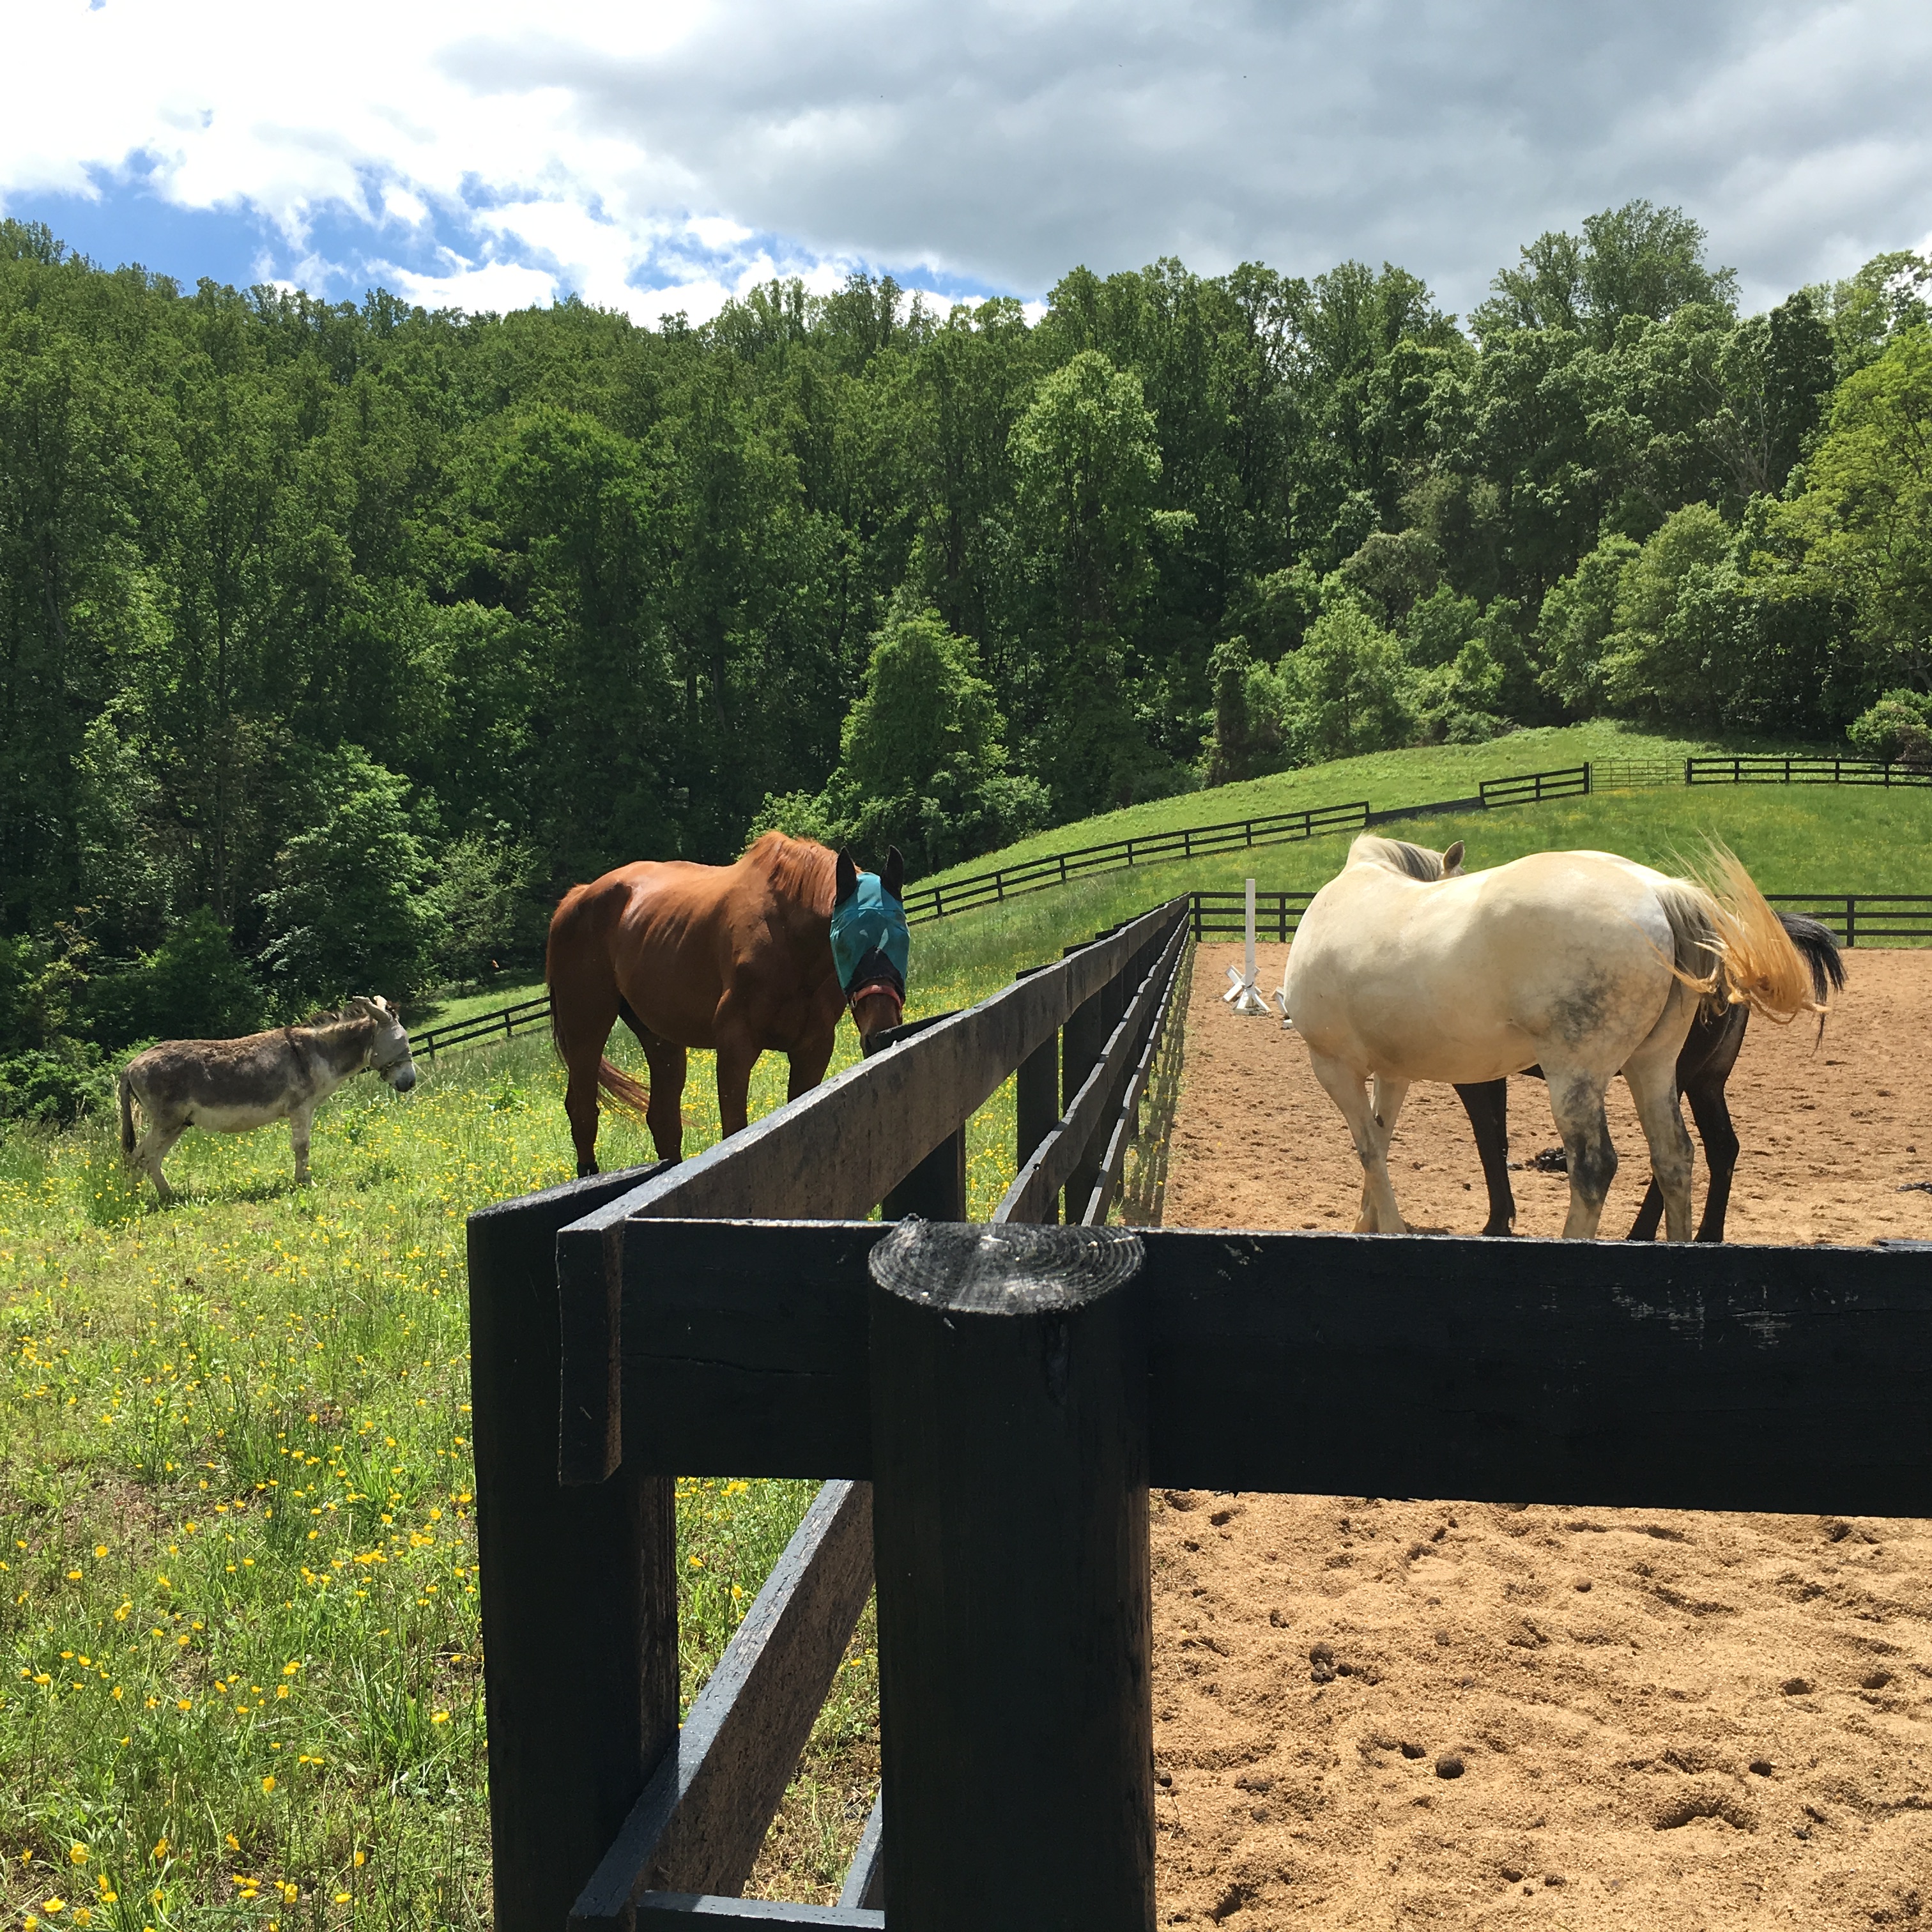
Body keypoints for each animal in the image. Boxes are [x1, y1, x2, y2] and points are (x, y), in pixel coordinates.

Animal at [120, 996, 417, 1202]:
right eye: (402, 1043)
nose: (410, 1083)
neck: (318, 1052)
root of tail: (130, 1066)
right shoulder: (300, 1109)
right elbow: (302, 1147)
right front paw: (305, 1183)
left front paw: (302, 1181)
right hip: (166, 1122)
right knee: (138, 1157)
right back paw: (133, 1202)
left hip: (178, 1124)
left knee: (152, 1159)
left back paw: (167, 1197)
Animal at [545, 833, 907, 1177]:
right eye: (844, 941)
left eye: (902, 937)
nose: (882, 1034)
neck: (787, 939)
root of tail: (576, 896)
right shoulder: (736, 1047)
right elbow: (734, 1132)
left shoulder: (813, 1048)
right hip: (586, 1030)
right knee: (583, 1112)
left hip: (659, 1038)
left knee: (662, 1119)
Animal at [1452, 911, 1845, 1240]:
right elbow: (1496, 1138)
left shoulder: (1473, 1077)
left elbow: (1489, 1141)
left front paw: (1497, 1222)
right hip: (1706, 1083)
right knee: (1721, 1147)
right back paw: (1708, 1235)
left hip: (1672, 1075)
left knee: (1673, 1156)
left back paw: (1641, 1232)